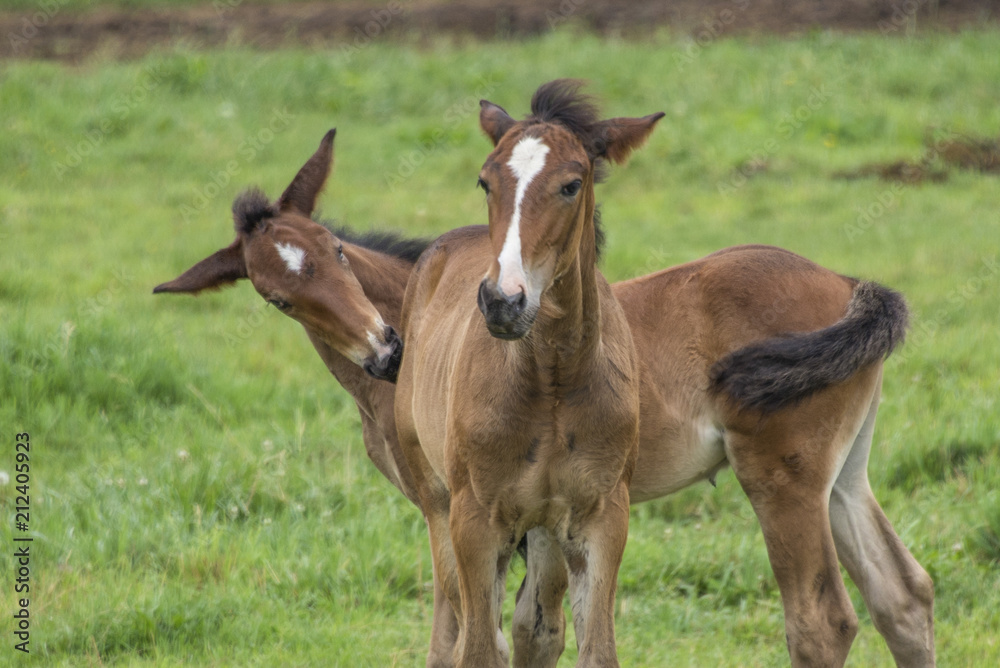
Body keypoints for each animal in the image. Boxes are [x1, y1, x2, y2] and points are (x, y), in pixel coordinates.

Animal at [396, 83, 664, 668]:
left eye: (571, 184)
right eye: (485, 180)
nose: (503, 300)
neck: (552, 380)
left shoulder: (602, 517)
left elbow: (592, 649)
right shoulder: (474, 521)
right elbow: (477, 647)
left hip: (543, 531)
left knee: (534, 627)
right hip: (436, 499)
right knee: (453, 628)